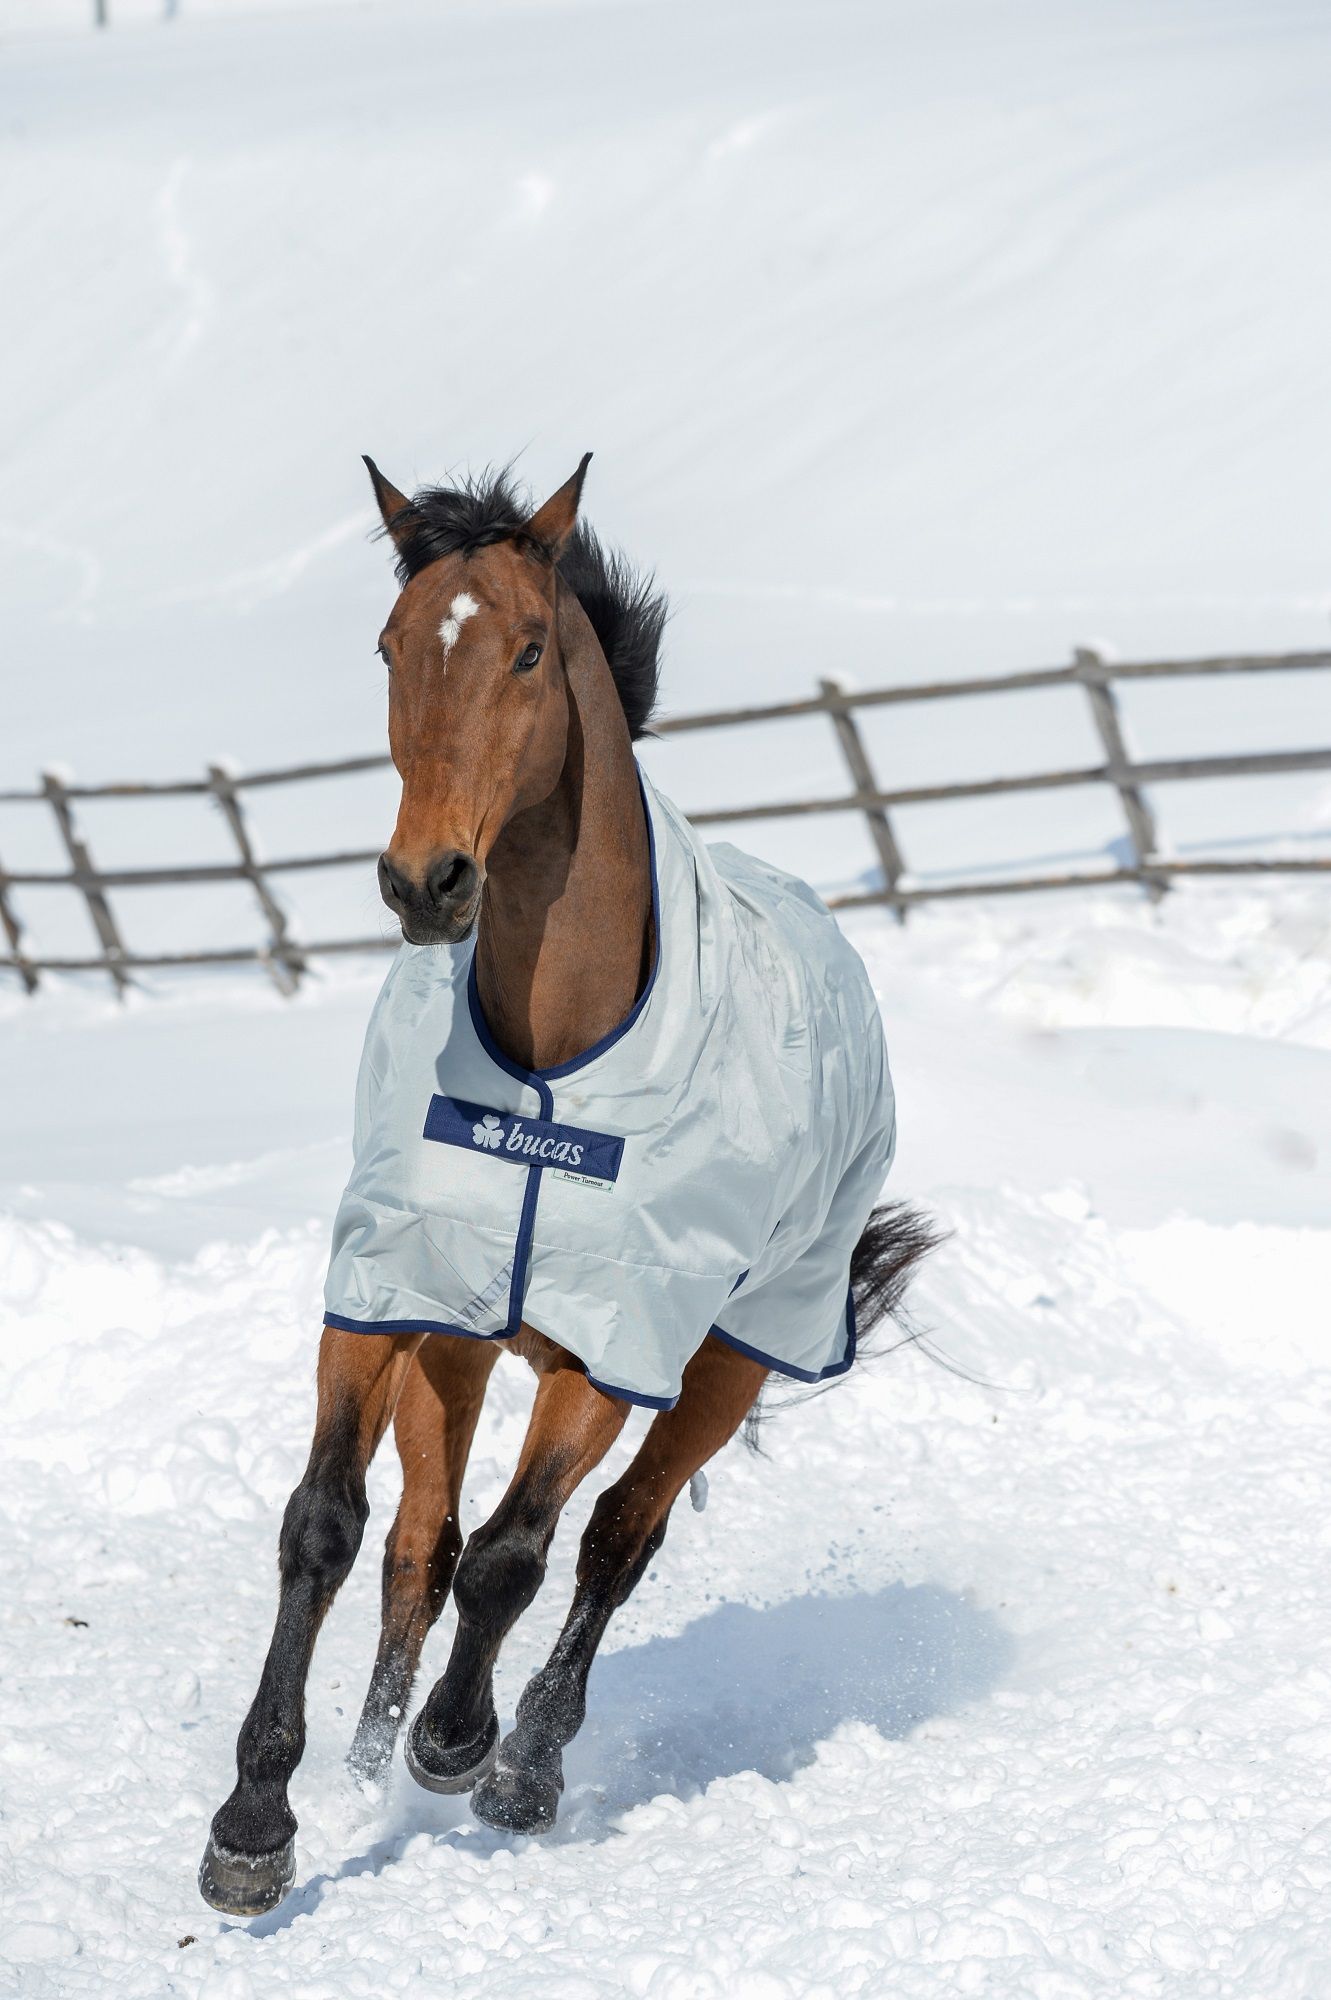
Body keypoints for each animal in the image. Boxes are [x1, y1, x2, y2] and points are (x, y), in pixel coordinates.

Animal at [198, 455, 934, 1917]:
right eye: (389, 647)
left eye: (530, 649)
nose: (425, 882)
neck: (555, 1057)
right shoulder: (384, 1294)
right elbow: (330, 1527)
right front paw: (259, 1819)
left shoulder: (618, 1336)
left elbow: (518, 1555)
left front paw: (456, 1742)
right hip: (465, 1345)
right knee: (418, 1543)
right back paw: (368, 1755)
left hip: (731, 1357)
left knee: (611, 1541)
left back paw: (522, 1763)